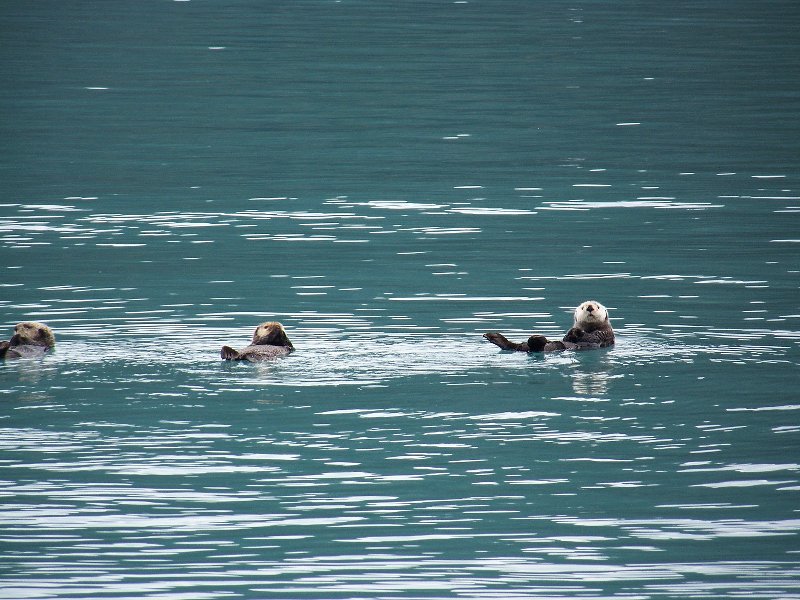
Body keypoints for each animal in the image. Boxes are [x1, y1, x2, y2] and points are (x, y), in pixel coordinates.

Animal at [484, 300, 614, 353]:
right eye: (583, 307)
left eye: (597, 306)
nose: (590, 307)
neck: (589, 328)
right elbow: (567, 337)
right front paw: (572, 332)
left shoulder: (605, 333)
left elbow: (592, 337)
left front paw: (576, 332)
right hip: (523, 347)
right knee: (513, 346)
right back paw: (493, 336)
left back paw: (537, 338)